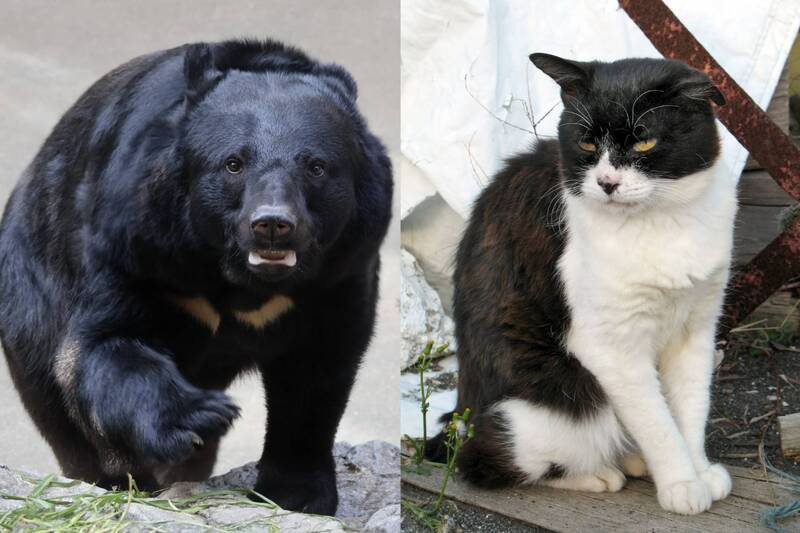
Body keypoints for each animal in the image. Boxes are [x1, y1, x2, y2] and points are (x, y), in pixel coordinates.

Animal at [0, 39, 392, 515]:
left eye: (316, 166)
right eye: (233, 163)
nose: (272, 223)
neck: (240, 280)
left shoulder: (339, 273)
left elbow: (316, 372)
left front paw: (297, 492)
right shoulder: (137, 245)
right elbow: (107, 342)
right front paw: (202, 417)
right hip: (30, 294)